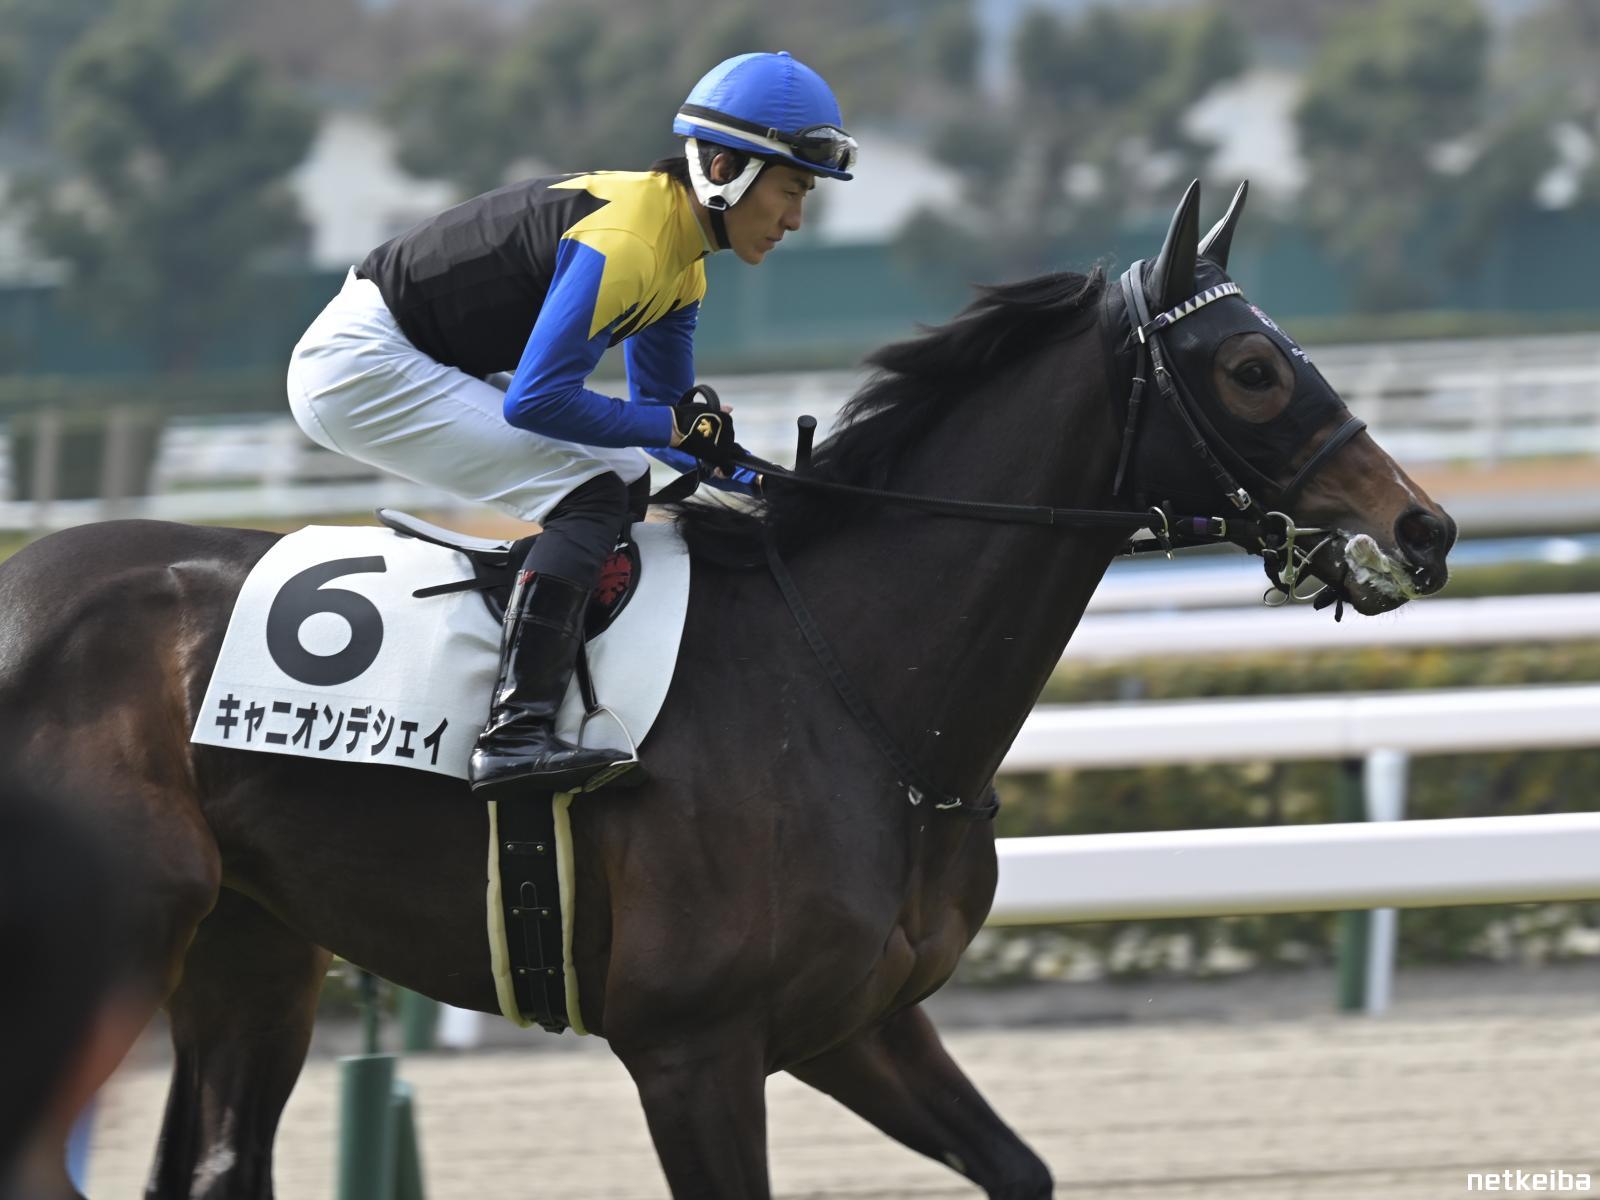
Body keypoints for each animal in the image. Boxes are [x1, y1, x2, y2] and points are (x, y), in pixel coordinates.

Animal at [0, 181, 1454, 1199]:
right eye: (1252, 369)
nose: (1424, 525)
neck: (849, 686)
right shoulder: (690, 1048)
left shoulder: (856, 1021)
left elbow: (1018, 1168)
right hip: (130, 931)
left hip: (249, 946)